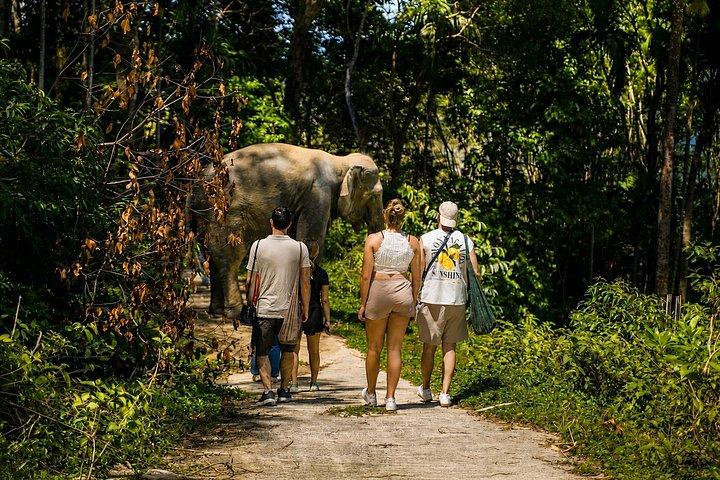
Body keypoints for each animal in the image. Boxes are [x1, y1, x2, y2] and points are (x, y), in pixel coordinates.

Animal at [189, 143, 385, 318]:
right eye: (375, 196)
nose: (362, 316)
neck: (340, 161)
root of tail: (195, 184)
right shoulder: (318, 196)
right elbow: (310, 242)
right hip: (226, 211)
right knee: (229, 257)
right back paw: (236, 312)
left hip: (205, 211)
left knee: (212, 255)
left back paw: (216, 312)